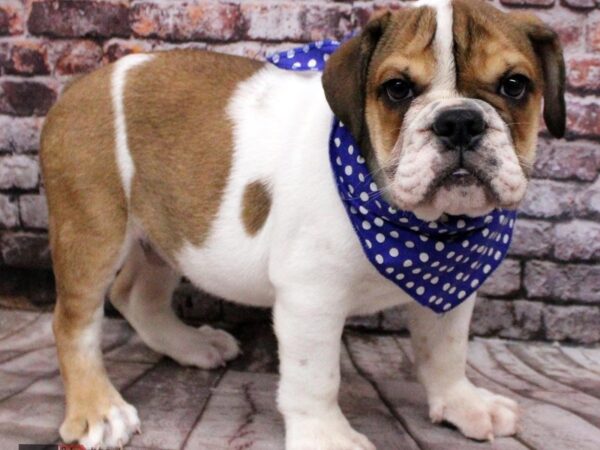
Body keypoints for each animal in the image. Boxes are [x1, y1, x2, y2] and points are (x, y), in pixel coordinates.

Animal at [39, 0, 564, 448]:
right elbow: (316, 376)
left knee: (137, 295)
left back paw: (190, 346)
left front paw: (461, 402)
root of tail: (79, 87)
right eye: (397, 89)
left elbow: (447, 350)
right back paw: (99, 410)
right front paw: (326, 436)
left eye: (515, 85)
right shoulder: (312, 296)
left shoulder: (449, 287)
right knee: (74, 322)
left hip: (167, 231)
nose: (459, 121)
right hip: (92, 227)